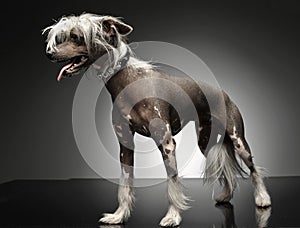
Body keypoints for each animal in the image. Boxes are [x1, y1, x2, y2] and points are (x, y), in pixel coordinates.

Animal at [43, 13, 270, 226]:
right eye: (63, 37)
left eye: (76, 37)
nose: (49, 54)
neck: (127, 81)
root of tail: (224, 93)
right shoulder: (125, 145)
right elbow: (126, 184)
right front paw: (119, 216)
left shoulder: (166, 143)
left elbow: (172, 181)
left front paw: (172, 216)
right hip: (206, 143)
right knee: (224, 168)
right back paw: (226, 196)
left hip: (237, 140)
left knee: (253, 169)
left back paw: (263, 199)